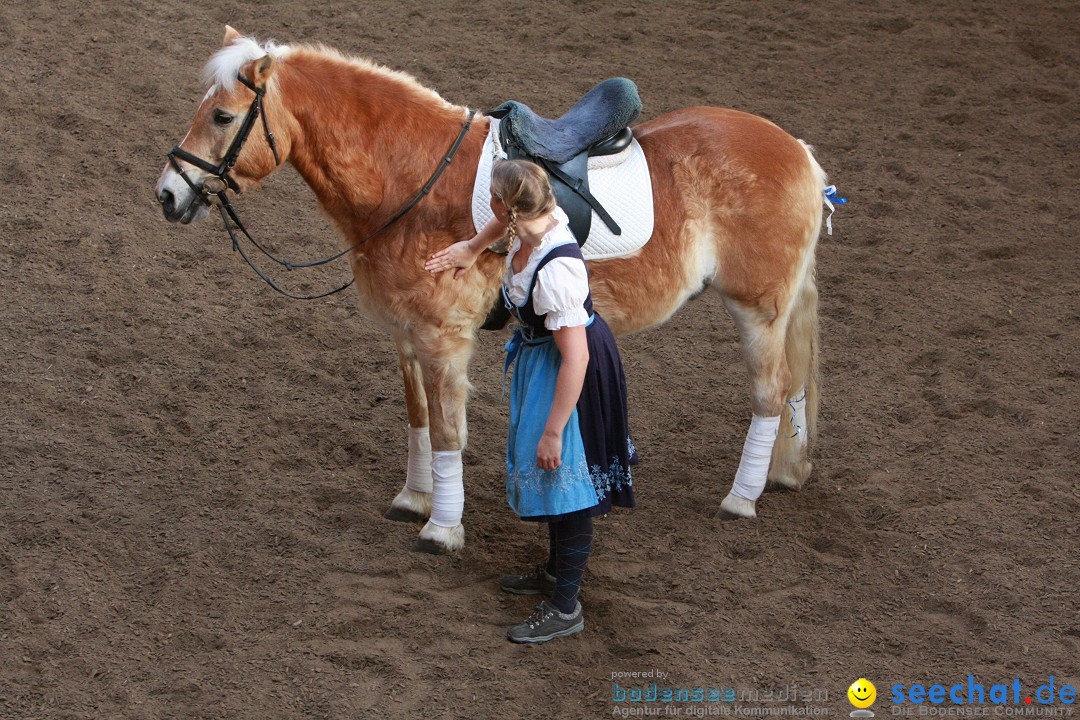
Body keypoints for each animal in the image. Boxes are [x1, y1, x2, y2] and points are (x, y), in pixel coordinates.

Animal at [154, 28, 825, 557]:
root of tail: (799, 151)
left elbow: (449, 432)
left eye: (221, 116)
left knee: (770, 394)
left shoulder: (444, 339)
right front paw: (415, 497)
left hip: (758, 310)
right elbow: (419, 419)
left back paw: (741, 498)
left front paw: (442, 529)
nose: (167, 193)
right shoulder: (407, 335)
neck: (410, 180)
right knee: (792, 386)